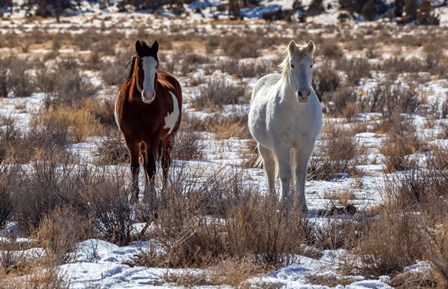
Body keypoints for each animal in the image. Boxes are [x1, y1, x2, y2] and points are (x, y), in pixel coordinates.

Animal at [114, 40, 183, 202]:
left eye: (156, 64)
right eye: (139, 64)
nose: (149, 94)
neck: (139, 107)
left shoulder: (153, 137)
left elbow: (151, 167)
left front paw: (151, 198)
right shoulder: (130, 139)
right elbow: (135, 167)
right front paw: (134, 198)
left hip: (168, 136)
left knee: (165, 163)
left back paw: (163, 193)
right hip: (144, 142)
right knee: (145, 163)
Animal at [248, 39, 322, 209]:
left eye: (311, 65)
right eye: (292, 65)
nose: (303, 93)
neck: (296, 111)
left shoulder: (306, 144)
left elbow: (300, 173)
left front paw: (301, 206)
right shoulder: (281, 144)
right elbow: (284, 174)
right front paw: (283, 204)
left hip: (293, 149)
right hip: (265, 147)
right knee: (270, 169)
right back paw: (272, 199)